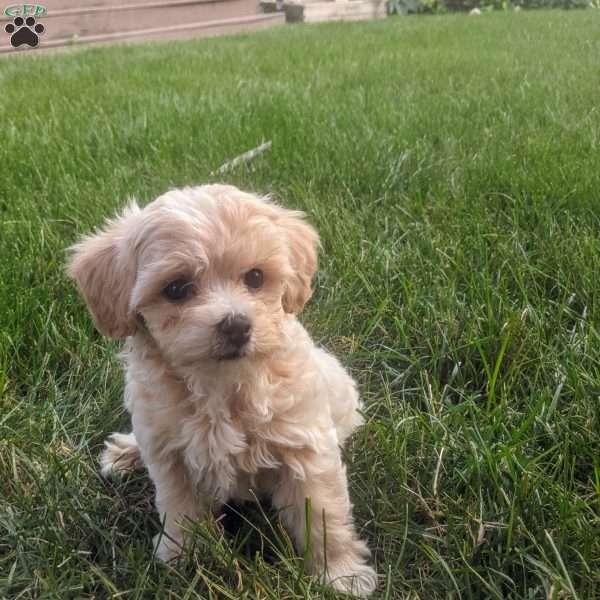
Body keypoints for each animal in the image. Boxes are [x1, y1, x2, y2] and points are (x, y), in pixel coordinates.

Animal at [69, 184, 376, 596]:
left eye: (255, 277)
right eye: (176, 289)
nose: (236, 325)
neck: (221, 384)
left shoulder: (307, 450)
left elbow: (324, 515)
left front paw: (341, 575)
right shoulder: (173, 460)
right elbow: (180, 511)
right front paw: (182, 559)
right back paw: (127, 452)